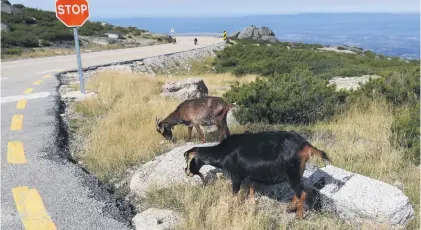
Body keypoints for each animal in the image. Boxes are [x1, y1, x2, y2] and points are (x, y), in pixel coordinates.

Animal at [182, 130, 330, 218]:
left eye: (190, 160)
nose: (187, 172)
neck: (223, 151)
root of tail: (306, 145)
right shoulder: (249, 175)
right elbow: (252, 189)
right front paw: (252, 204)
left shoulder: (236, 175)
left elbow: (234, 193)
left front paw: (232, 207)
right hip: (297, 174)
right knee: (301, 191)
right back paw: (289, 208)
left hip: (291, 174)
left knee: (302, 193)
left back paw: (298, 216)